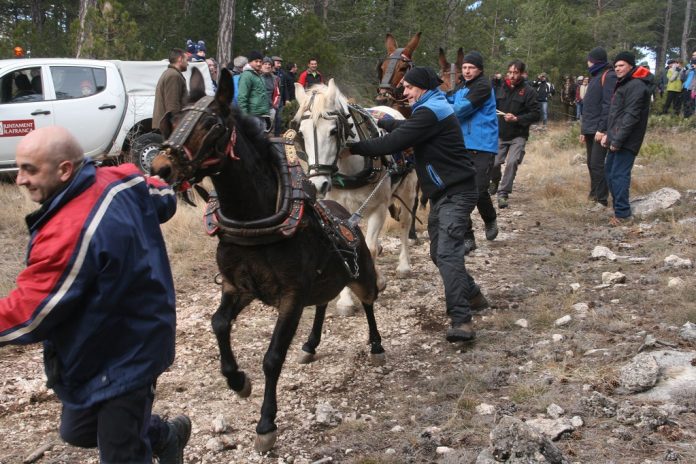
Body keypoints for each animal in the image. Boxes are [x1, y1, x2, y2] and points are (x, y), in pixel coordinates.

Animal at [150, 68, 386, 454]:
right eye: (174, 119)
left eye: (212, 123)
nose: (160, 166)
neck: (254, 220)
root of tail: (343, 214)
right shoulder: (238, 287)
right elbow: (218, 323)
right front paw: (237, 380)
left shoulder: (290, 296)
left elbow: (273, 358)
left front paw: (265, 424)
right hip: (321, 283)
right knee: (322, 303)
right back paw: (310, 344)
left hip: (359, 273)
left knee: (368, 300)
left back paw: (377, 345)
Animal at [294, 81, 418, 318]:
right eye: (302, 134)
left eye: (333, 131)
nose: (317, 184)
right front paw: (345, 301)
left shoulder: (379, 208)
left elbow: (370, 248)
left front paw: (374, 284)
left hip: (408, 190)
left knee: (405, 225)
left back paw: (404, 266)